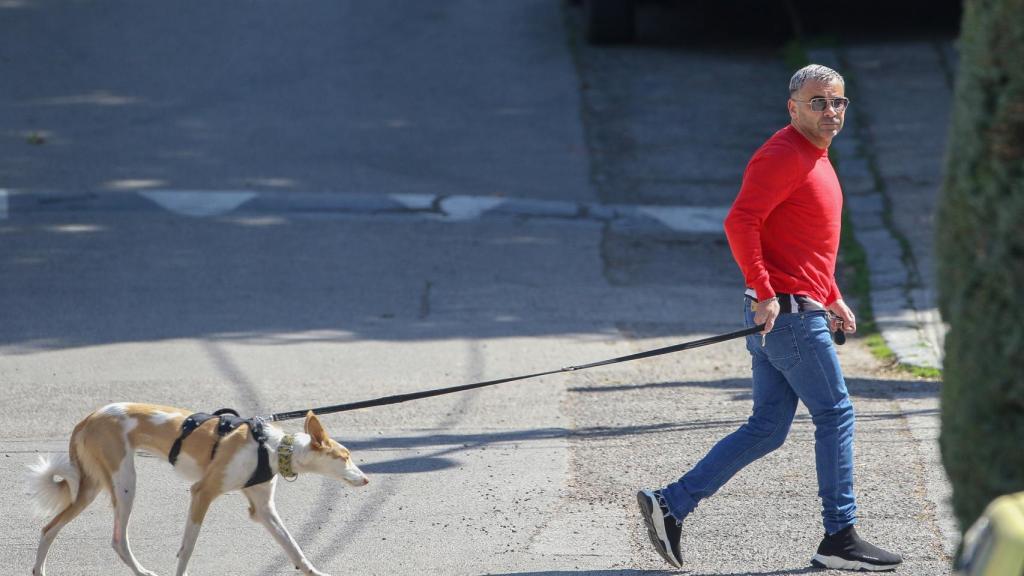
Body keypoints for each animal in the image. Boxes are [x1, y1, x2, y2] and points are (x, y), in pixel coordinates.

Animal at [24, 401, 372, 573]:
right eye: (345, 456)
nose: (367, 479)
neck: (271, 448)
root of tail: (87, 419)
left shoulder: (262, 509)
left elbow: (293, 546)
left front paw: (315, 572)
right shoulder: (202, 493)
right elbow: (187, 549)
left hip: (94, 485)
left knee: (50, 528)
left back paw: (39, 570)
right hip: (124, 482)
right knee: (118, 540)